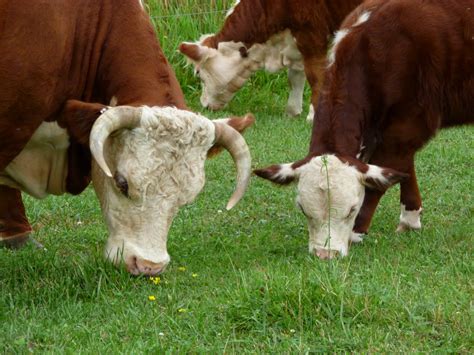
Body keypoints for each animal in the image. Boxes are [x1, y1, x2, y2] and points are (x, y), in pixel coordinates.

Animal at [179, 0, 362, 121]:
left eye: (198, 74)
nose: (204, 105)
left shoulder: (311, 34)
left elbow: (316, 77)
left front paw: (314, 115)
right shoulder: (294, 42)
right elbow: (295, 77)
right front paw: (292, 111)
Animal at [256, 0, 474, 258]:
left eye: (352, 209)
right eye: (303, 209)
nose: (325, 254)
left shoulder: (408, 124)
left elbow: (380, 180)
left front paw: (356, 232)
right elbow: (403, 169)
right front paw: (410, 219)